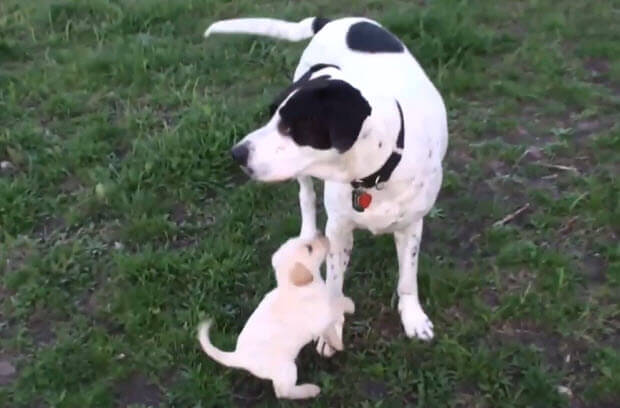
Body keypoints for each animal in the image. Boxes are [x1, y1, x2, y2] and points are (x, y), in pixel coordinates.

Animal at [197, 236, 354, 398]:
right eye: (309, 248)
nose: (324, 236)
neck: (294, 287)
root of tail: (238, 356)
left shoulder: (323, 322)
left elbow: (331, 329)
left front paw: (337, 344)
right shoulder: (321, 316)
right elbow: (335, 306)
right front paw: (349, 305)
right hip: (287, 369)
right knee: (283, 392)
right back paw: (309, 390)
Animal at [206, 16, 448, 354]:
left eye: (292, 127)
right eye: (270, 114)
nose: (237, 153)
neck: (375, 172)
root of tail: (333, 19)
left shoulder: (412, 225)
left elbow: (407, 279)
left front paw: (413, 318)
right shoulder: (338, 230)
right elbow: (334, 285)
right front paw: (330, 328)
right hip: (303, 174)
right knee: (306, 198)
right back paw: (307, 237)